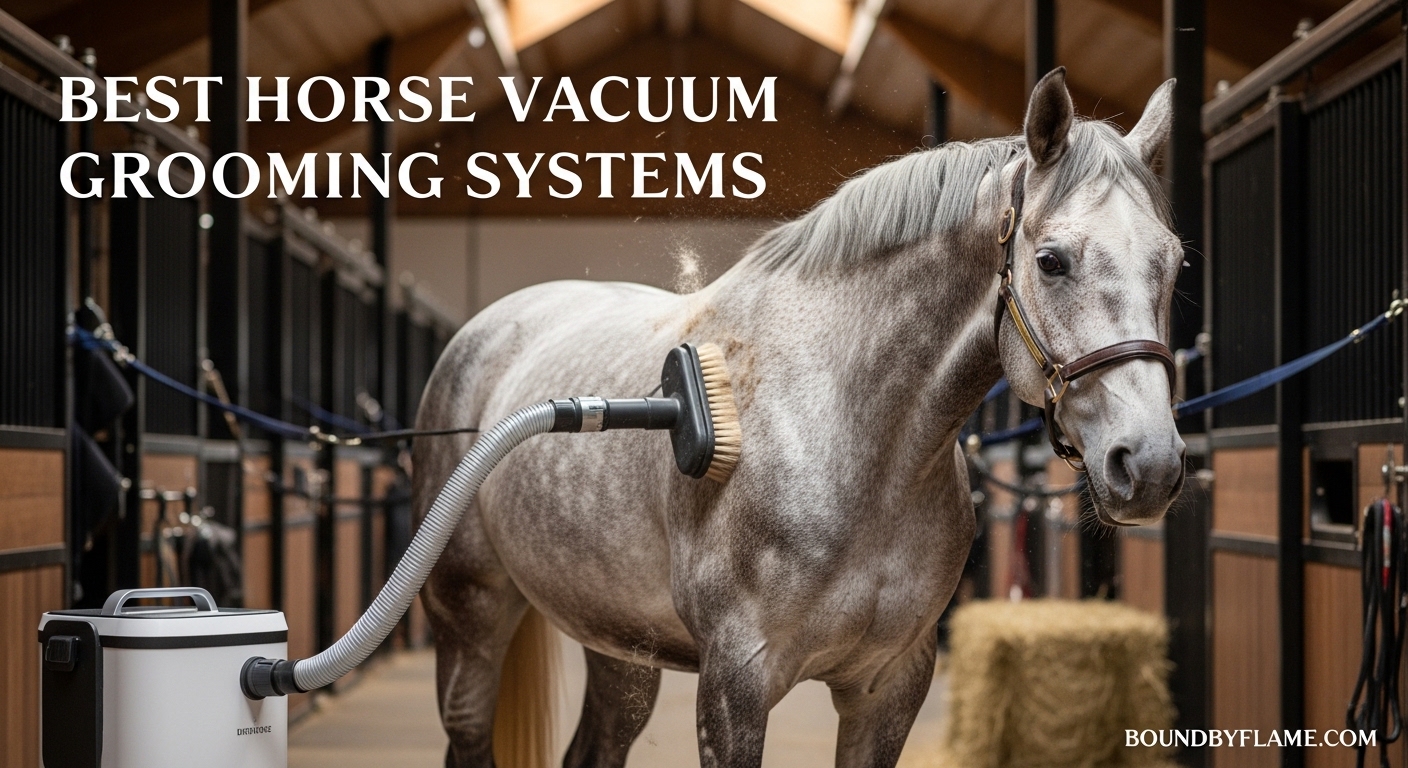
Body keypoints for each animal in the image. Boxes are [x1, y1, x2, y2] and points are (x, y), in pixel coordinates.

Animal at [412, 69, 1187, 768]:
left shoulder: (889, 687)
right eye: (1051, 261)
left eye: (1174, 261)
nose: (1148, 464)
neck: (854, 443)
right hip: (470, 621)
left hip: (619, 644)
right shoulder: (735, 687)